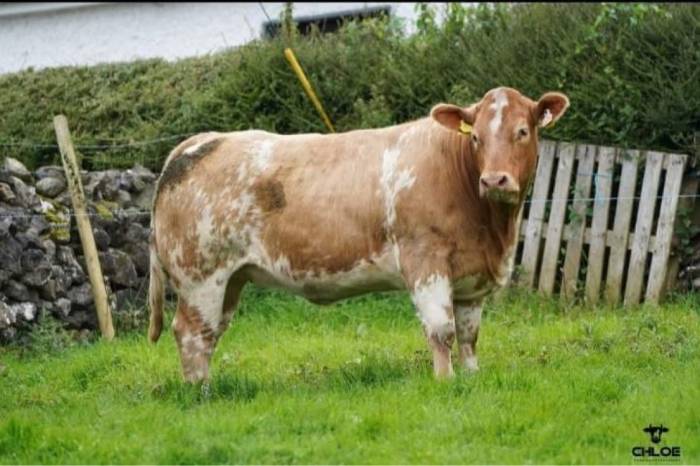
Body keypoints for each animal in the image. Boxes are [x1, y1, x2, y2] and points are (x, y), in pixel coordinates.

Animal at [148, 86, 569, 382]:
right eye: (476, 137)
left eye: (522, 131)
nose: (494, 180)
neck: (492, 229)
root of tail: (200, 141)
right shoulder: (425, 260)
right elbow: (441, 330)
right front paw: (445, 381)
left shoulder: (472, 276)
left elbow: (468, 335)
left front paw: (470, 377)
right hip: (201, 276)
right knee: (192, 333)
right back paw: (200, 393)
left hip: (230, 279)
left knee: (211, 333)